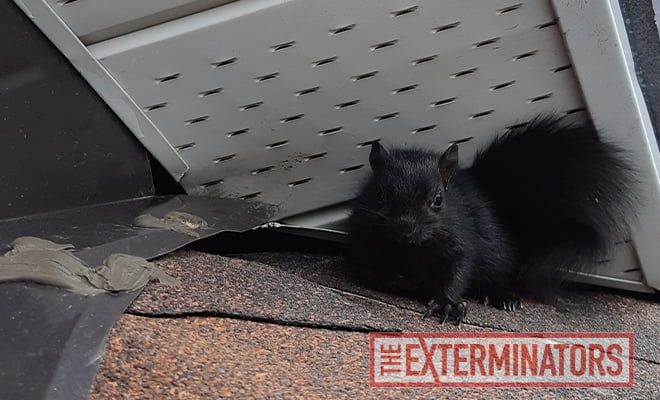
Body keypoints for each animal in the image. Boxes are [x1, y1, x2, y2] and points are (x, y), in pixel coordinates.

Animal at [346, 115, 640, 325]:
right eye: (379, 193)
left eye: (438, 199)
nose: (405, 226)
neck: (410, 248)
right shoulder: (362, 239)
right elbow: (370, 271)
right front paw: (403, 280)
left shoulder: (460, 240)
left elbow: (458, 270)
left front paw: (447, 303)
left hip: (495, 251)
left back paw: (501, 295)